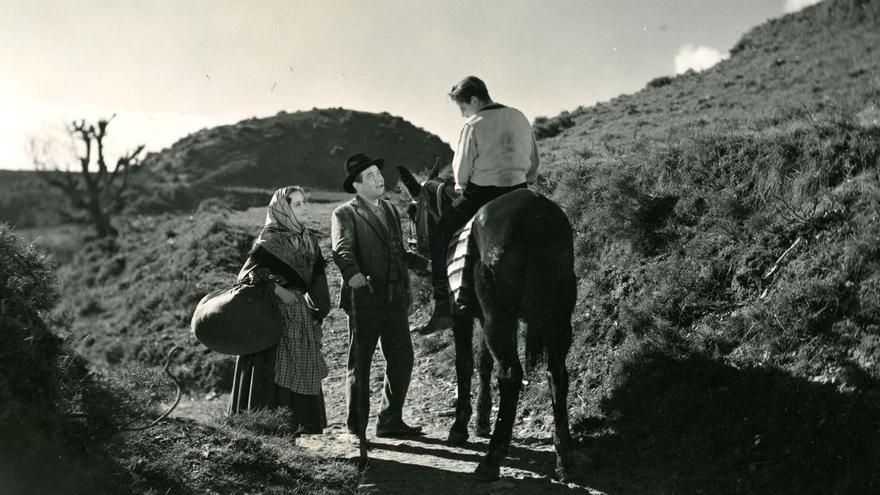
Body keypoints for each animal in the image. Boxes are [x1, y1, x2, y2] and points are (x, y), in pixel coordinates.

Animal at [398, 165, 576, 482]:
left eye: (411, 210)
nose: (416, 250)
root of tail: (537, 216)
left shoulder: (463, 315)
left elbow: (465, 364)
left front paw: (460, 426)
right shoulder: (484, 317)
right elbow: (483, 363)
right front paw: (481, 420)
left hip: (500, 318)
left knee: (511, 374)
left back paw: (492, 459)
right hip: (554, 317)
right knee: (557, 374)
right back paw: (564, 456)